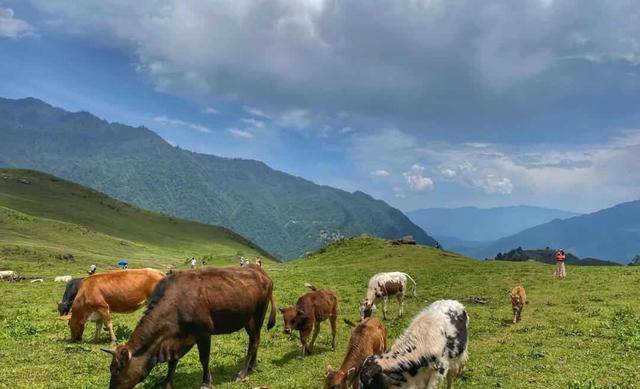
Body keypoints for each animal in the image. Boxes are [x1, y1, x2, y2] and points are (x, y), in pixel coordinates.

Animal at [103, 264, 278, 388]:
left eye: (118, 369)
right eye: (110, 368)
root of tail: (261, 273)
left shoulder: (204, 332)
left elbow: (204, 358)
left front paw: (206, 382)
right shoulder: (175, 339)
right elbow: (173, 362)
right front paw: (167, 382)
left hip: (258, 315)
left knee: (254, 342)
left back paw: (242, 373)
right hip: (248, 320)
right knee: (255, 340)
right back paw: (251, 367)